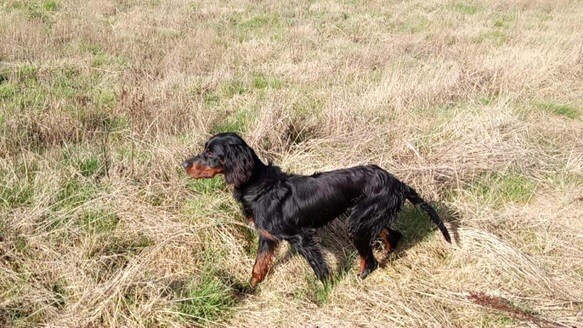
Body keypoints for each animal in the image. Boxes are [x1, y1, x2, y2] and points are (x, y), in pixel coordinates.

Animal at [182, 133, 452, 288]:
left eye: (210, 152)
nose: (184, 164)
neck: (259, 186)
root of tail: (395, 181)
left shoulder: (301, 237)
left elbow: (319, 268)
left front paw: (326, 293)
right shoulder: (267, 237)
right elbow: (258, 266)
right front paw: (248, 289)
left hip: (357, 222)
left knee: (370, 259)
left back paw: (363, 276)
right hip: (366, 216)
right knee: (392, 235)